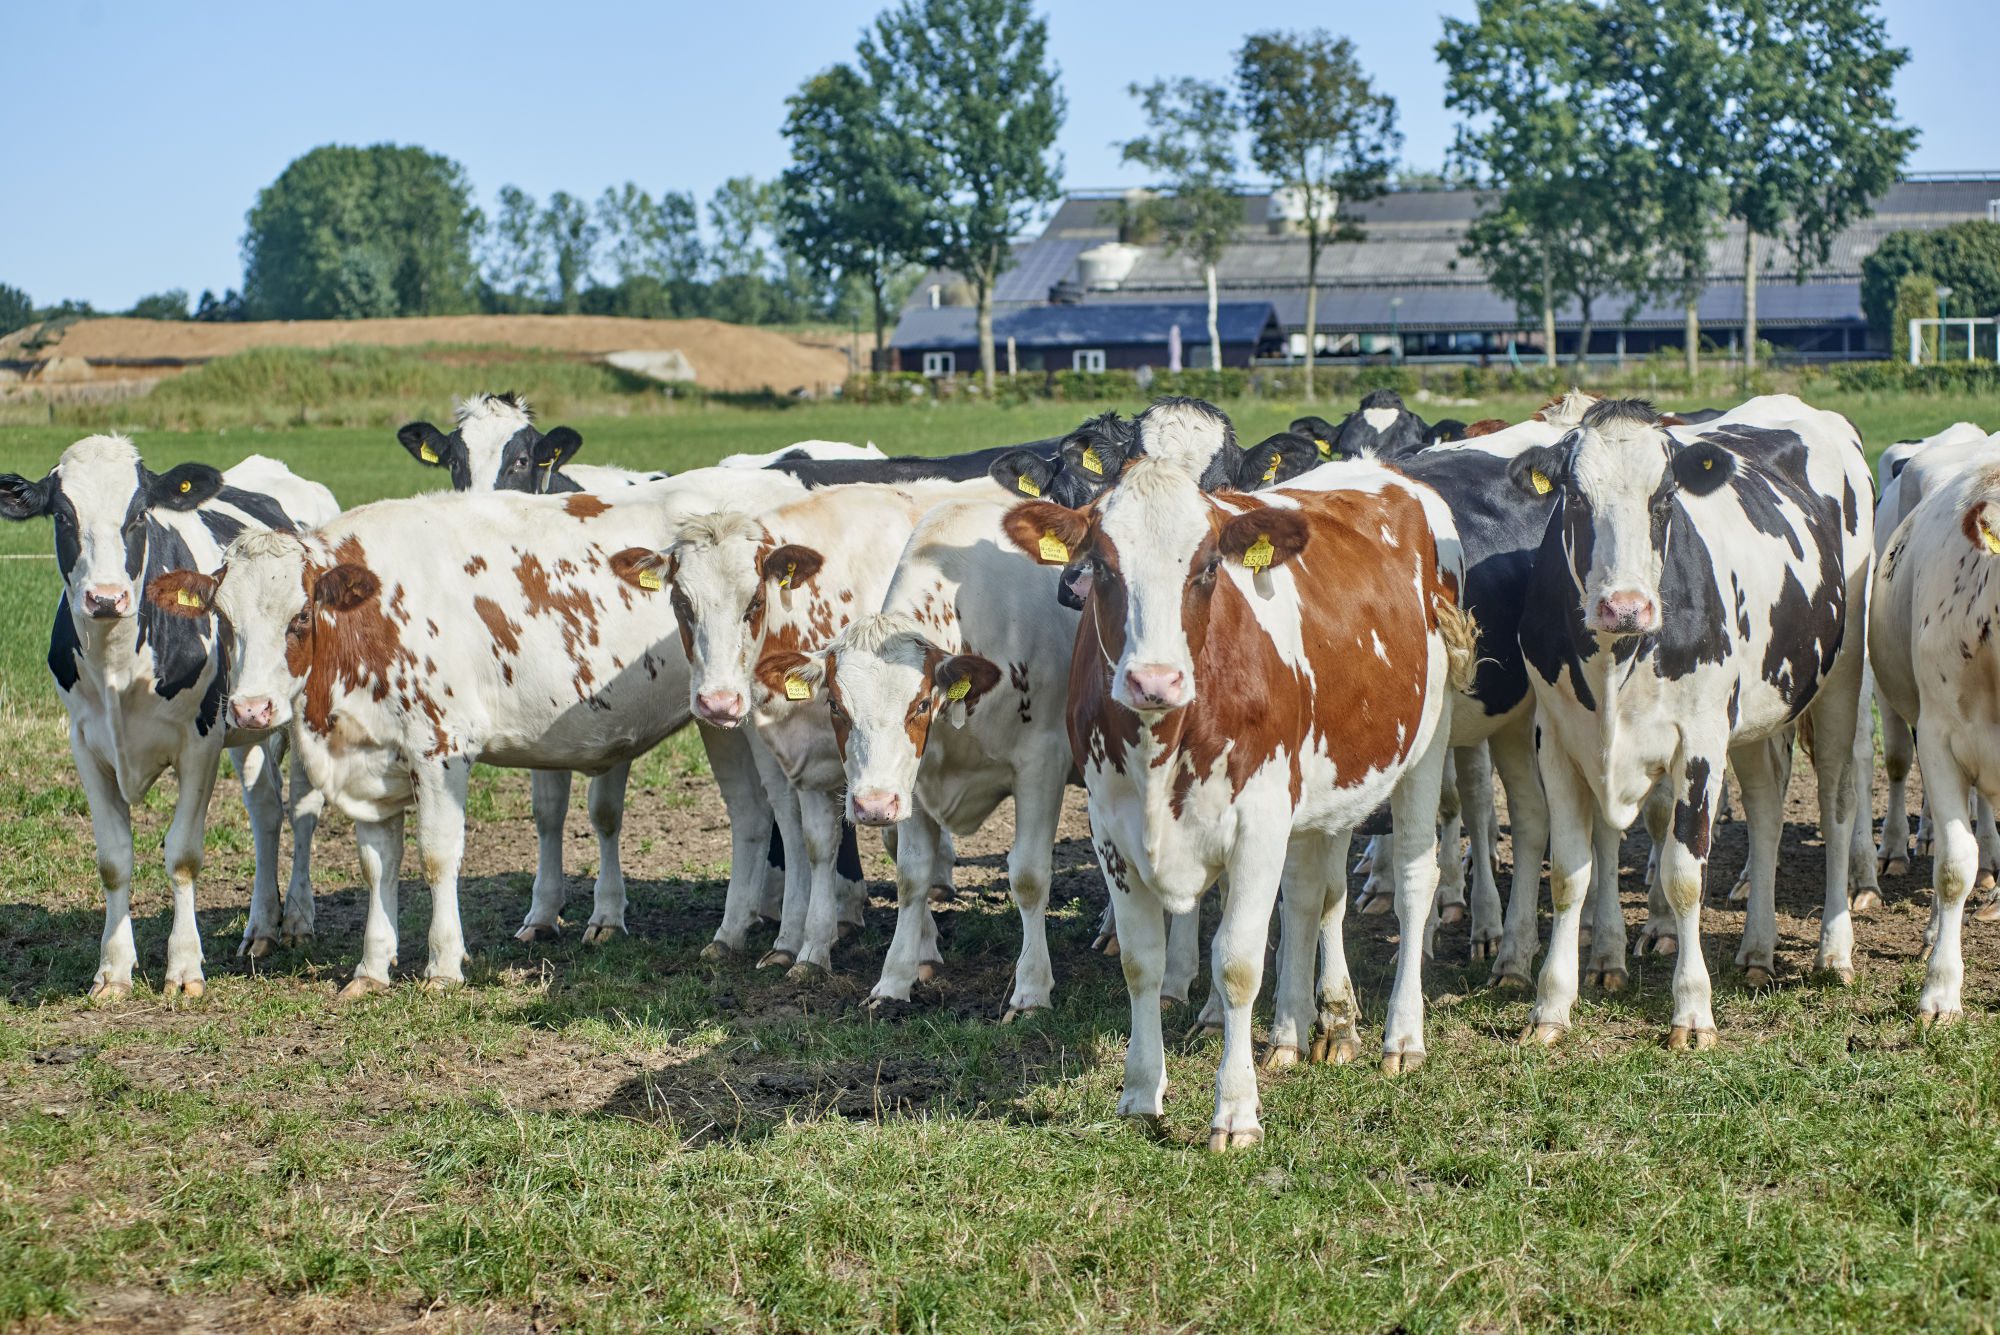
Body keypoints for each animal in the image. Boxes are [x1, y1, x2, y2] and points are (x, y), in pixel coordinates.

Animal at [0, 433, 336, 995]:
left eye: (138, 514)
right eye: (63, 515)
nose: (106, 598)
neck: (117, 666)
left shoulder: (199, 743)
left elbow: (182, 855)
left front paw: (183, 967)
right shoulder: (84, 743)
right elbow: (113, 860)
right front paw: (113, 970)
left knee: (303, 810)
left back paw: (297, 919)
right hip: (246, 724)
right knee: (266, 810)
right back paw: (261, 928)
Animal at [1016, 459, 1472, 1151]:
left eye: (1208, 568)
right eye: (1102, 566)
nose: (1154, 681)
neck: (1162, 741)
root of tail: (1383, 468)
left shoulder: (1258, 821)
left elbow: (1236, 963)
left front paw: (1235, 1112)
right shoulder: (1109, 828)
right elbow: (1141, 961)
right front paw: (1140, 1095)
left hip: (1426, 741)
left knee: (1416, 881)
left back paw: (1402, 1036)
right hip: (1330, 780)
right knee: (1317, 896)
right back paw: (1312, 1027)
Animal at [1512, 395, 1872, 1055]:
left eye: (1664, 498)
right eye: (1574, 498)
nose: (1624, 606)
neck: (1616, 657)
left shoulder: (1699, 744)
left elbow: (1684, 876)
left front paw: (1692, 1011)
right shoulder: (1559, 743)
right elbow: (1570, 875)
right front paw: (1550, 1005)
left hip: (1839, 681)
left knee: (1836, 807)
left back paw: (1834, 954)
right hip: (1755, 715)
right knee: (1766, 812)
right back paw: (1757, 950)